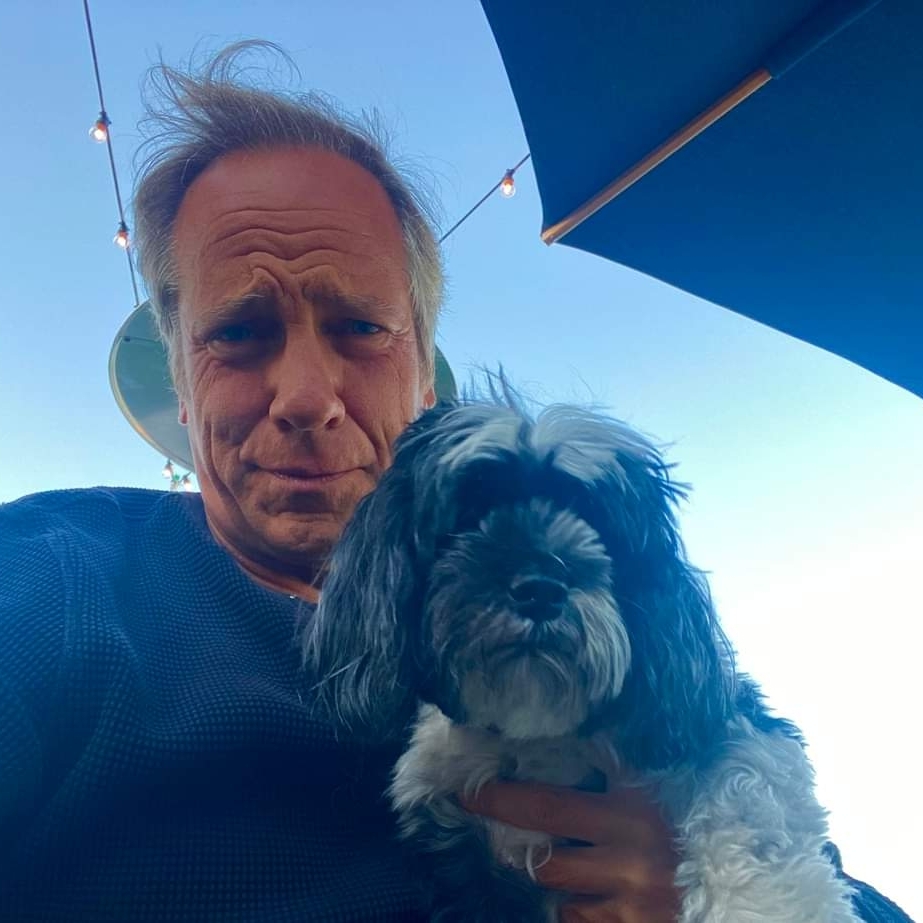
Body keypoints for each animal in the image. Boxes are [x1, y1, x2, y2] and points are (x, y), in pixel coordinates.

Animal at [303, 395, 860, 922]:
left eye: (595, 523)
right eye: (468, 515)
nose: (541, 588)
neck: (537, 735)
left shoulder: (726, 723)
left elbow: (751, 811)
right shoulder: (463, 851)